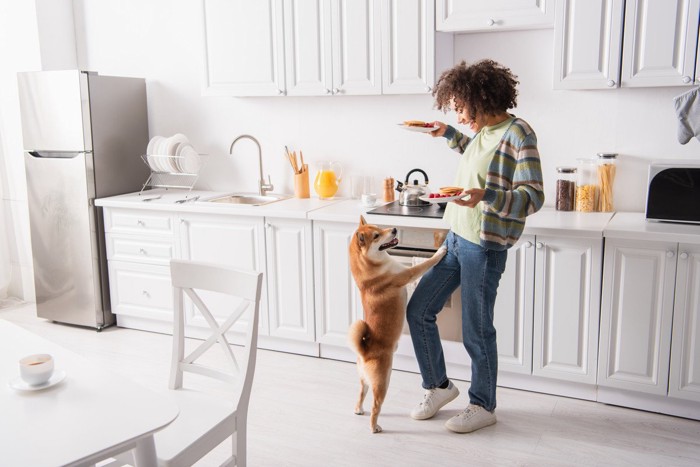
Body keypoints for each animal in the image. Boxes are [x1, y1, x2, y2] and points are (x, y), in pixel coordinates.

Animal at [348, 218, 446, 434]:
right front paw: (441, 251)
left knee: (360, 393)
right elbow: (426, 263)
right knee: (376, 406)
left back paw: (358, 410)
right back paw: (374, 427)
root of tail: (365, 352)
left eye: (379, 227)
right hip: (383, 382)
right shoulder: (408, 274)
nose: (393, 229)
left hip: (364, 381)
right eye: (376, 236)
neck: (370, 270)